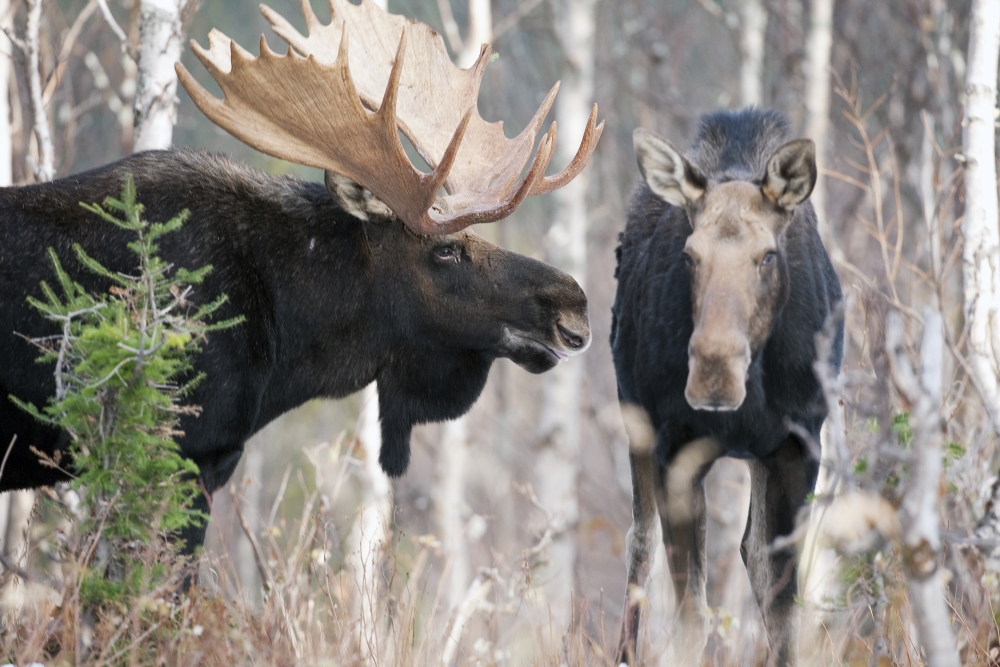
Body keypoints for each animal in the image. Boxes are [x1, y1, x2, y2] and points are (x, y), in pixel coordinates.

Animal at [611, 108, 842, 667]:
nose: (714, 375)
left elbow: (780, 603)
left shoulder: (796, 445)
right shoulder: (675, 446)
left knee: (749, 553)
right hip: (634, 417)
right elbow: (691, 612)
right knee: (641, 542)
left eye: (768, 256)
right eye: (691, 256)